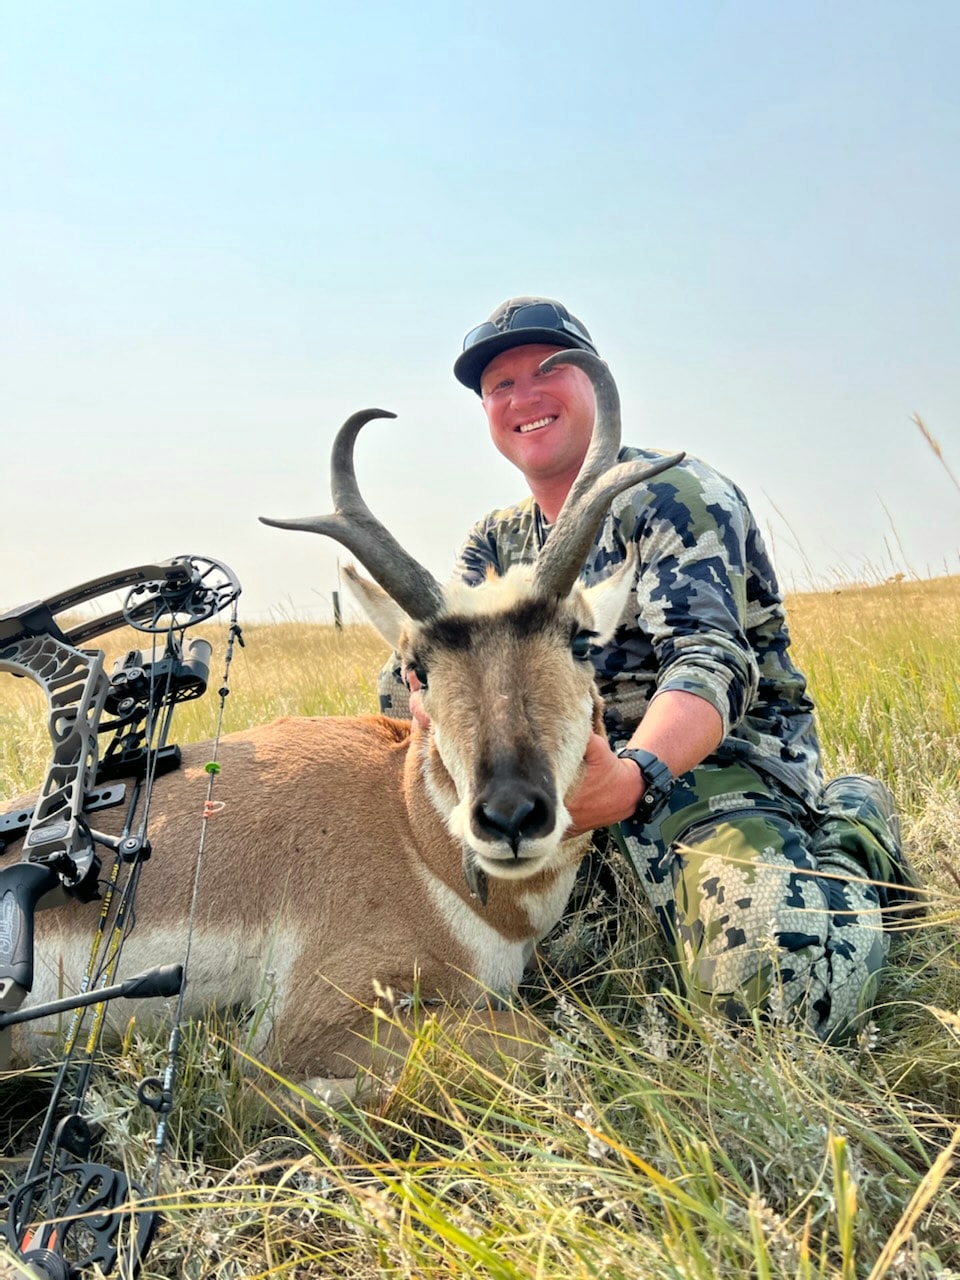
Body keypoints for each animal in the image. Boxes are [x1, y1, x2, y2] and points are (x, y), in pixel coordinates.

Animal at [6, 353, 680, 1103]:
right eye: (417, 667)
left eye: (583, 640)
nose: (509, 815)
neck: (411, 829)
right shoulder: (303, 1027)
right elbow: (554, 1041)